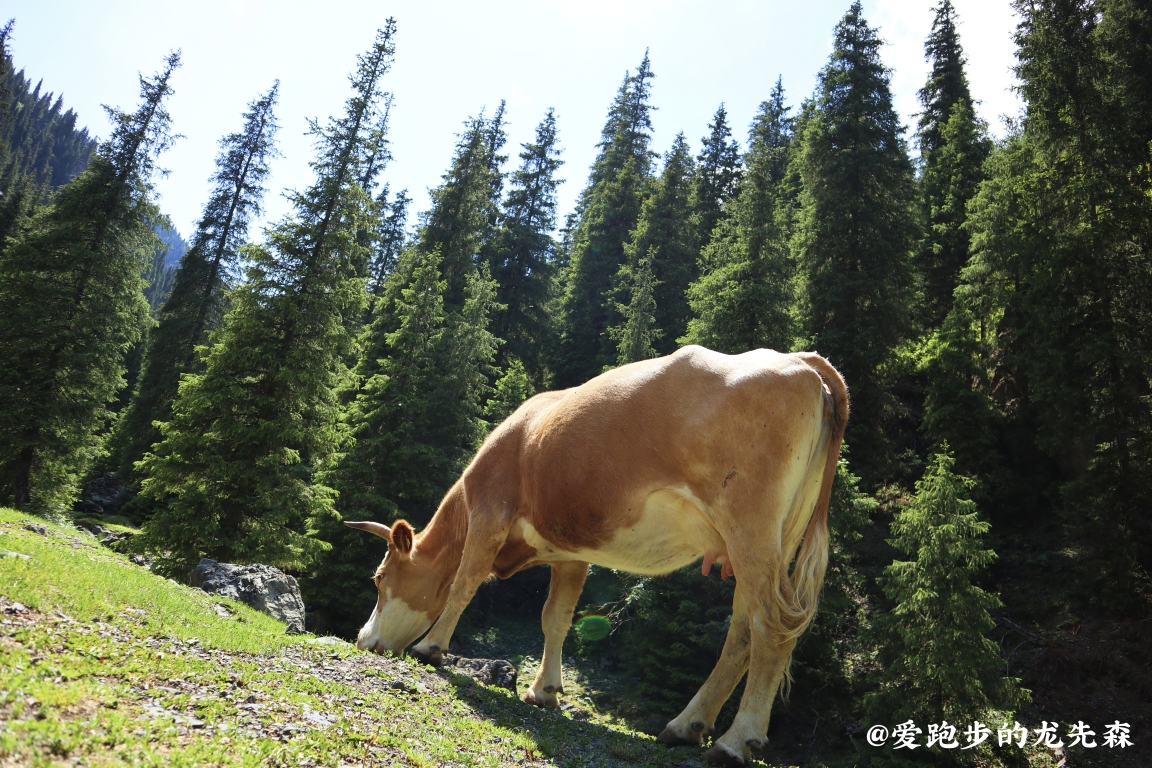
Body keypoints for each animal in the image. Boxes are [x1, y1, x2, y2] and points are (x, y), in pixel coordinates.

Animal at [340, 347, 847, 768]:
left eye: (379, 578)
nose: (363, 639)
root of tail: (800, 360)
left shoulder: (490, 512)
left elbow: (464, 583)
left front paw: (431, 648)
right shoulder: (570, 551)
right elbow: (556, 617)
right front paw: (544, 690)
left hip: (750, 523)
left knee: (771, 625)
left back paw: (734, 741)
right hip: (774, 538)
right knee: (743, 629)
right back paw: (685, 727)